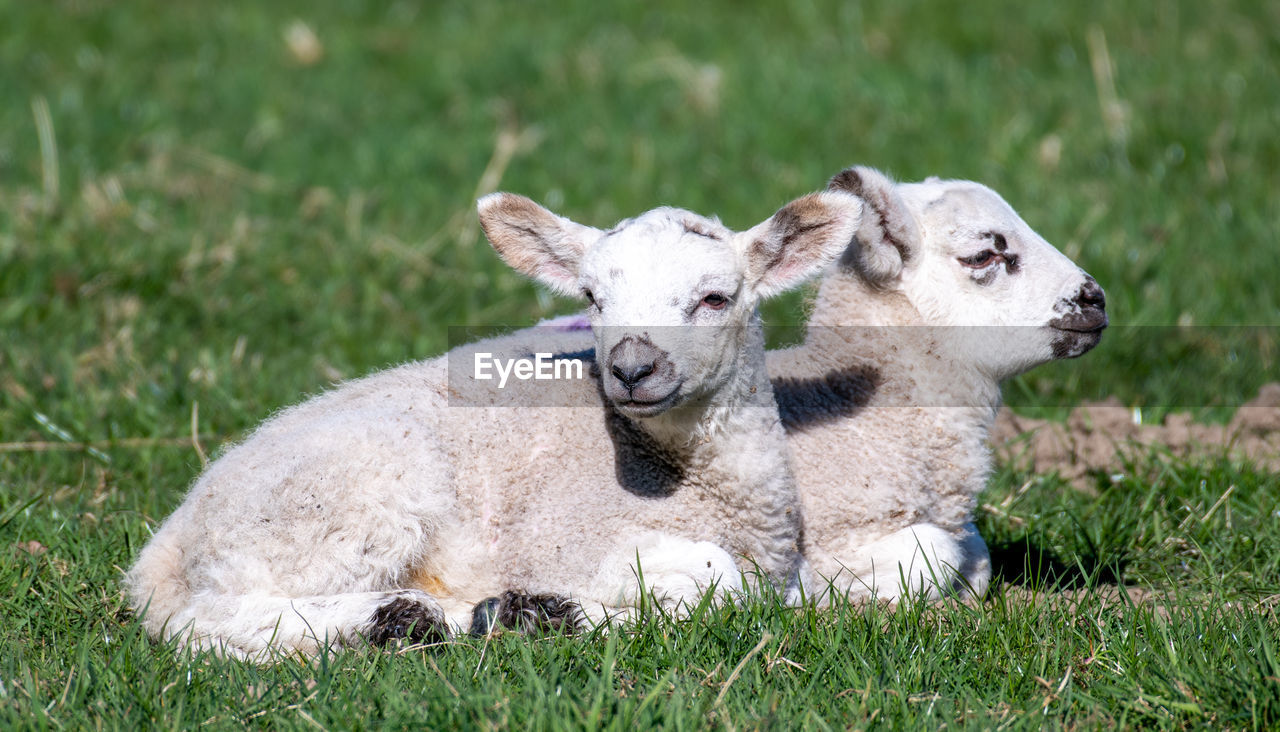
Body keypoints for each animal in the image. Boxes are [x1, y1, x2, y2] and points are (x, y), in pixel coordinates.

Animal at [124, 188, 865, 655]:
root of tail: (164, 551)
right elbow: (712, 579)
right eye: (592, 298)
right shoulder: (565, 536)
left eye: (715, 298)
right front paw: (569, 608)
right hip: (336, 502)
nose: (631, 368)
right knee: (210, 620)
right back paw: (407, 620)